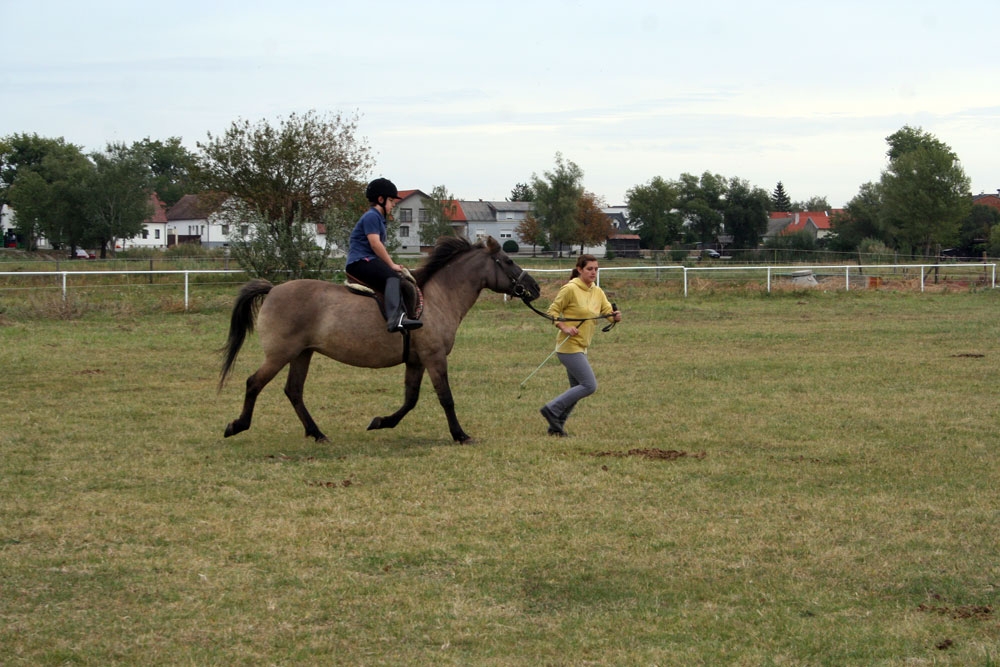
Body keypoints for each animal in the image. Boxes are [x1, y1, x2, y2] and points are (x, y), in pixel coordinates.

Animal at [217, 237, 540, 446]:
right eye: (508, 260)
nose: (534, 288)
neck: (438, 298)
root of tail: (273, 290)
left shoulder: (416, 360)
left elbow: (410, 400)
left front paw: (381, 422)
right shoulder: (434, 357)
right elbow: (446, 398)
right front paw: (460, 435)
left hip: (302, 353)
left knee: (294, 391)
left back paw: (317, 433)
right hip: (280, 354)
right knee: (254, 383)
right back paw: (237, 426)